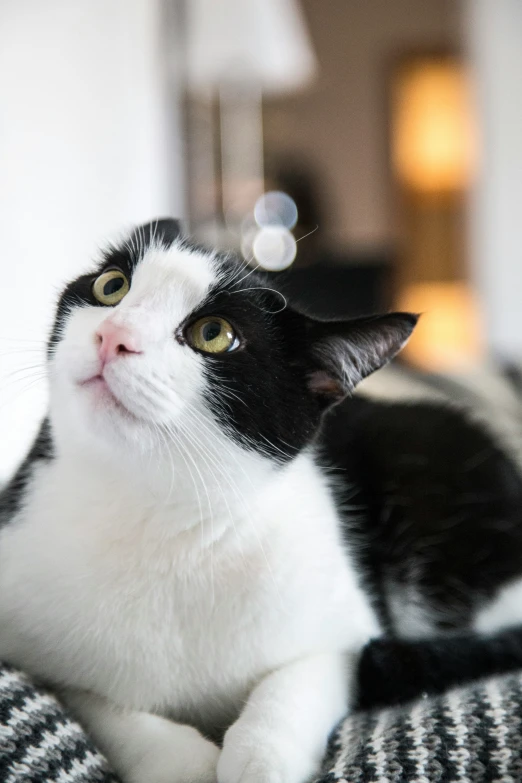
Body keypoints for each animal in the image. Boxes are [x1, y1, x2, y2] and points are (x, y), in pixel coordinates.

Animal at [1, 220, 520, 783]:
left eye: (214, 334)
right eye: (111, 287)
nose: (113, 334)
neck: (152, 513)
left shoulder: (344, 631)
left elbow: (294, 688)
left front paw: (256, 759)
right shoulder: (28, 641)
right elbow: (97, 705)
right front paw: (182, 761)